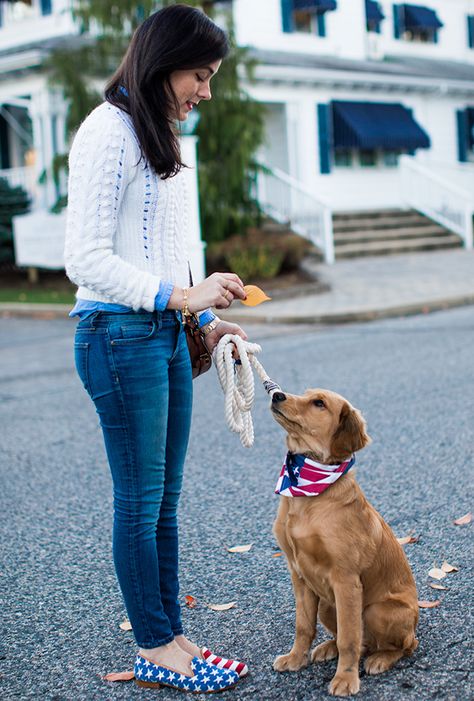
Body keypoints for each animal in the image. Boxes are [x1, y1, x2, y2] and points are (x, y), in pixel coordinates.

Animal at [270, 388, 418, 696]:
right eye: (303, 394)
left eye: (319, 403)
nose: (276, 394)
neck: (306, 494)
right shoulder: (298, 574)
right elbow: (303, 626)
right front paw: (296, 658)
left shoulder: (345, 579)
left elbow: (349, 638)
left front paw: (346, 679)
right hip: (328, 604)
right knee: (361, 642)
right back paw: (328, 648)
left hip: (376, 610)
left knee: (403, 645)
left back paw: (381, 659)